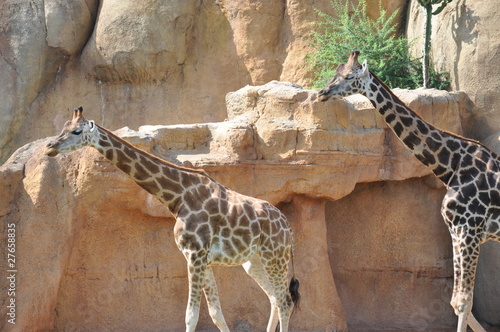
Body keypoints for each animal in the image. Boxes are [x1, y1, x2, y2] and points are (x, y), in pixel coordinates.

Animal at [44, 107, 300, 332]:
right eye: (63, 127)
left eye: (77, 131)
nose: (49, 147)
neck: (177, 197)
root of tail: (288, 227)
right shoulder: (201, 258)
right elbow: (216, 313)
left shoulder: (195, 255)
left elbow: (191, 315)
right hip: (253, 261)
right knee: (274, 298)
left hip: (274, 256)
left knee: (285, 301)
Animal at [318, 50, 498, 332]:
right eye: (335, 72)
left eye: (348, 76)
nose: (322, 92)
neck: (451, 166)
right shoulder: (458, 232)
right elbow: (458, 301)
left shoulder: (468, 230)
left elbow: (463, 302)